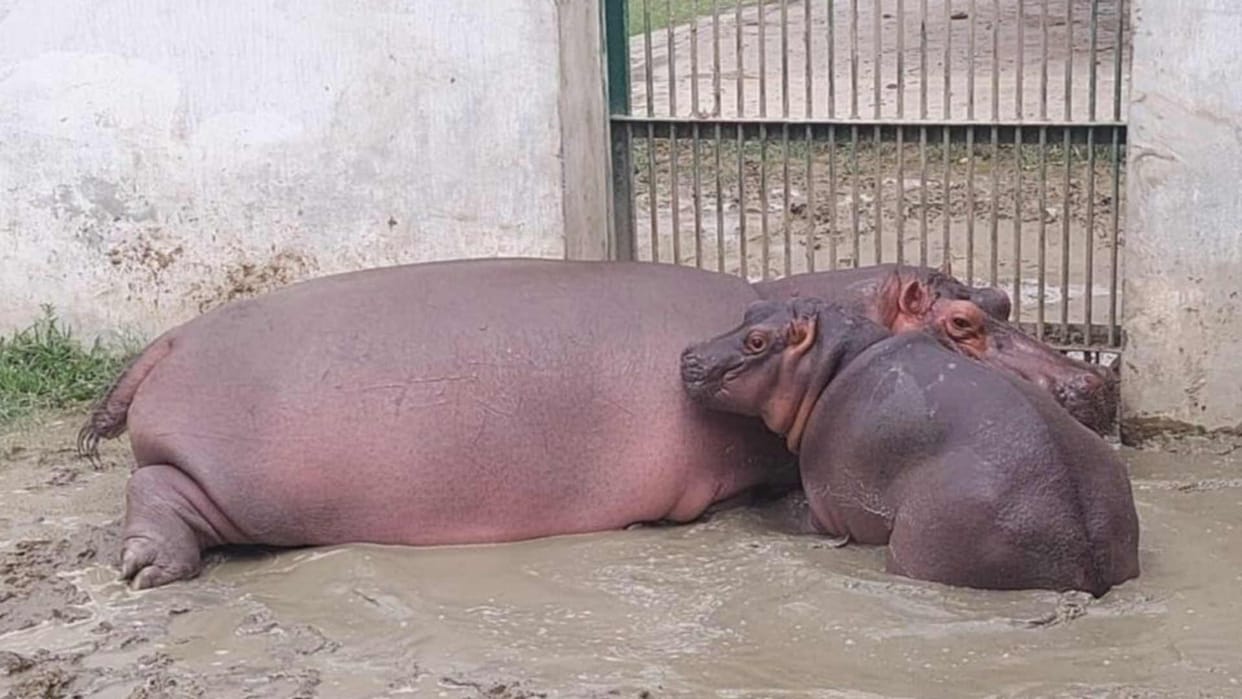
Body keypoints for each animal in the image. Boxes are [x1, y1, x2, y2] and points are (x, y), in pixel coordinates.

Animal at [678, 296, 1140, 596]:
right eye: (750, 312)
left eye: (756, 340)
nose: (689, 355)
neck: (831, 361)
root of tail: (1081, 541)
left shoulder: (824, 508)